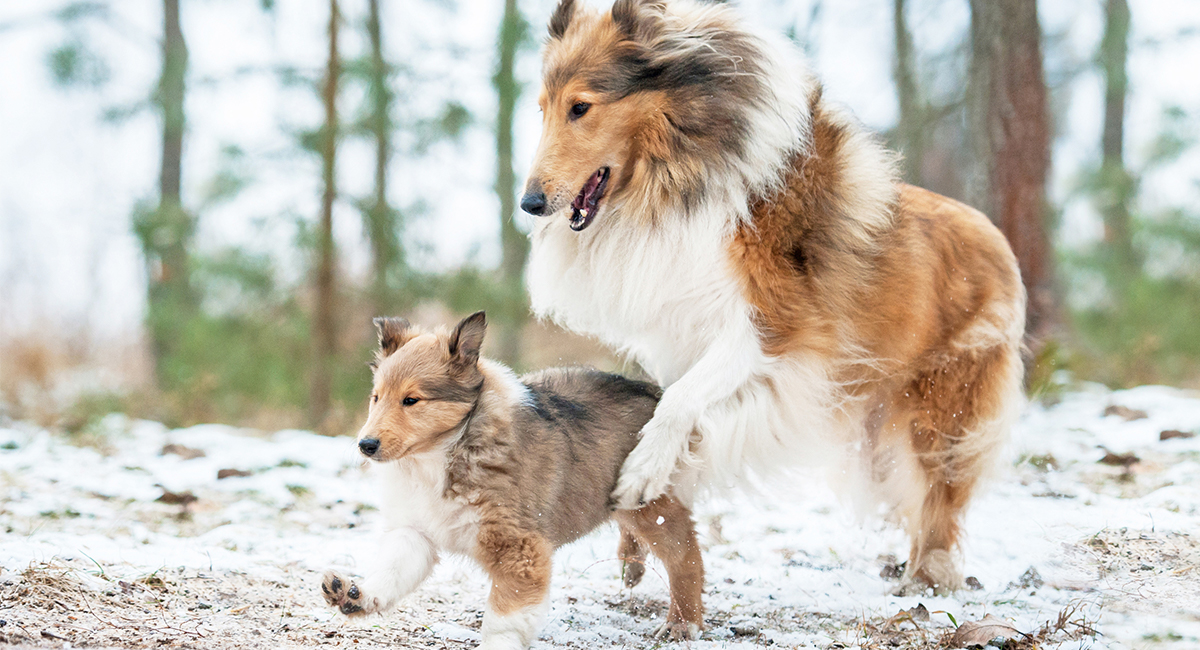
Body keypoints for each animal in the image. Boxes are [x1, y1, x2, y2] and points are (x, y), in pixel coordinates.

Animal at [324, 314, 705, 647]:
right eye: (376, 397)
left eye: (411, 399)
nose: (365, 445)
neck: (440, 456)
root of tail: (656, 392)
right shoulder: (415, 531)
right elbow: (391, 570)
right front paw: (356, 595)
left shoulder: (520, 549)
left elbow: (503, 619)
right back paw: (632, 567)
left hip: (653, 505)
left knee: (685, 557)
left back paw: (682, 624)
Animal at [520, 0, 1027, 597]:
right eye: (542, 109)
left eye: (580, 107)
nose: (529, 203)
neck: (682, 173)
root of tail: (999, 242)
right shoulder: (682, 337)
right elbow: (661, 408)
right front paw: (637, 532)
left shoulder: (773, 328)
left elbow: (678, 402)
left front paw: (641, 475)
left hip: (942, 408)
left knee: (940, 499)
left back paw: (926, 578)